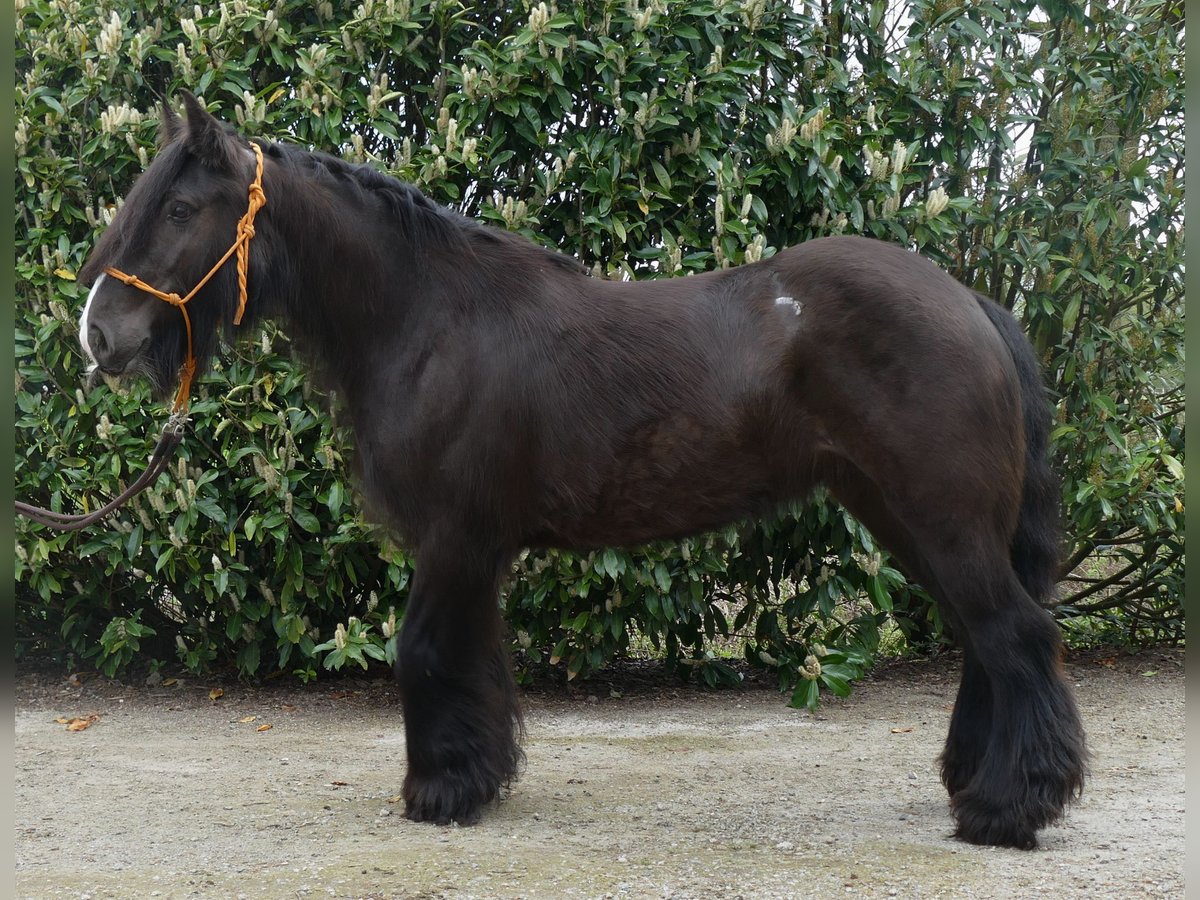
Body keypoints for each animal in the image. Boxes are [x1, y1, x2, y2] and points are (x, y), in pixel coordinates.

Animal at [75, 95, 1089, 849]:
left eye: (177, 209)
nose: (100, 338)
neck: (429, 319)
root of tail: (972, 303)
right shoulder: (474, 551)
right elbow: (473, 659)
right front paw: (476, 781)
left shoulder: (452, 539)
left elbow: (422, 651)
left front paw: (437, 792)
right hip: (904, 516)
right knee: (988, 642)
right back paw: (975, 786)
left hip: (940, 520)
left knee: (1016, 636)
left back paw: (1008, 809)